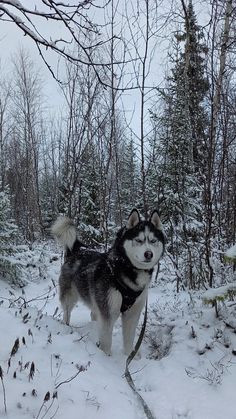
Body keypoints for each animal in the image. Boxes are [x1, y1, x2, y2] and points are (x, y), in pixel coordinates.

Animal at [52, 208, 165, 356]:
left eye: (153, 241)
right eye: (138, 240)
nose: (149, 254)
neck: (125, 268)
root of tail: (75, 252)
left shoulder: (133, 313)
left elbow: (129, 338)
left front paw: (130, 356)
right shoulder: (108, 312)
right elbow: (106, 341)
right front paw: (105, 357)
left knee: (93, 314)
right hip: (70, 297)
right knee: (67, 312)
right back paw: (66, 327)